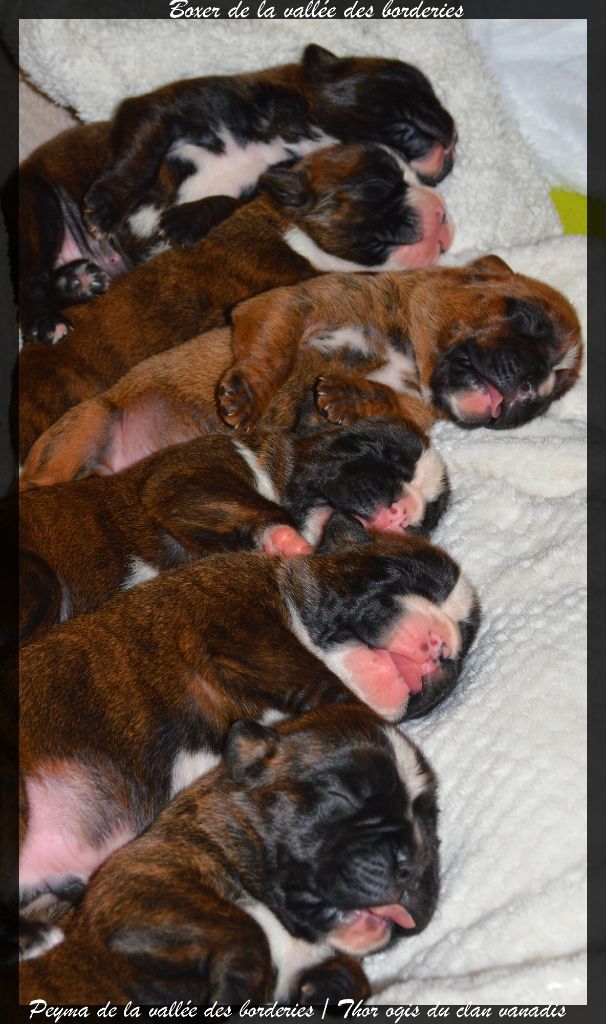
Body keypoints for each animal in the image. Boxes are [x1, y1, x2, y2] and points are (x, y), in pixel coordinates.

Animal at [18, 415, 450, 638]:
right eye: (382, 455)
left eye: (429, 516)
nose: (403, 512)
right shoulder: (186, 479)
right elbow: (252, 507)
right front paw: (286, 539)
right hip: (39, 579)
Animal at [20, 44, 454, 346]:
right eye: (413, 84)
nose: (454, 133)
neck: (304, 134)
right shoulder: (166, 109)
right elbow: (139, 153)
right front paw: (107, 205)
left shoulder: (269, 185)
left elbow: (226, 202)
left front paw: (185, 221)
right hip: (39, 205)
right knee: (31, 275)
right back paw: (47, 320)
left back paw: (76, 282)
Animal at [21, 704, 438, 1007]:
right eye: (342, 796)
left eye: (430, 822)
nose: (413, 861)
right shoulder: (136, 885)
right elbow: (243, 927)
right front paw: (238, 987)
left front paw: (334, 986)